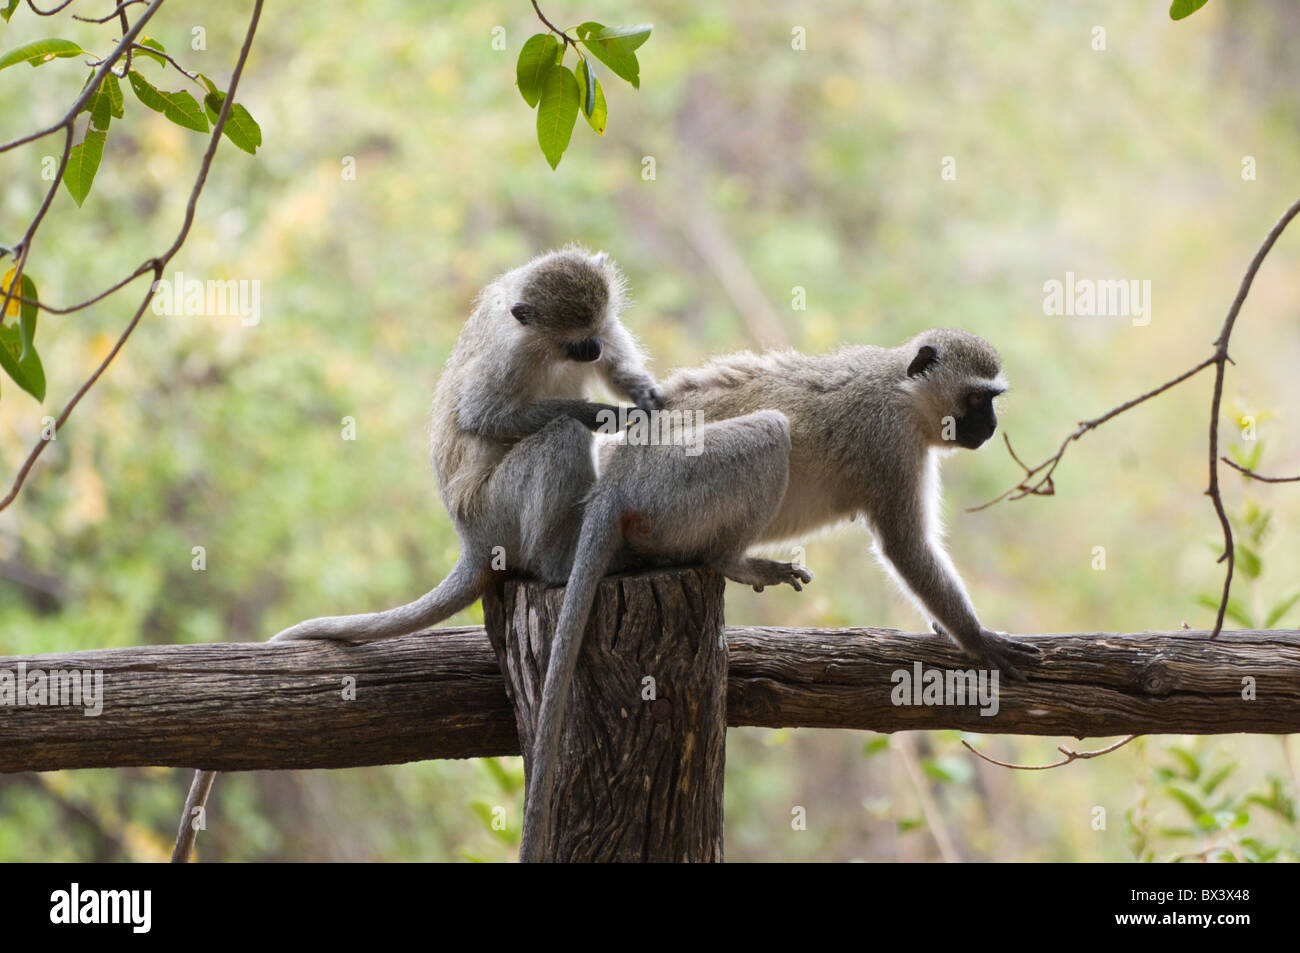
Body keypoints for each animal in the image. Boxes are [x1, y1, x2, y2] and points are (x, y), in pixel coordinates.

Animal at [519, 327, 1037, 860]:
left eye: (991, 400)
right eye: (976, 398)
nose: (991, 426)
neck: (903, 391)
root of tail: (613, 482)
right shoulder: (889, 444)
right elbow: (907, 548)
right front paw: (977, 639)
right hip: (669, 488)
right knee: (768, 434)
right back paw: (732, 559)